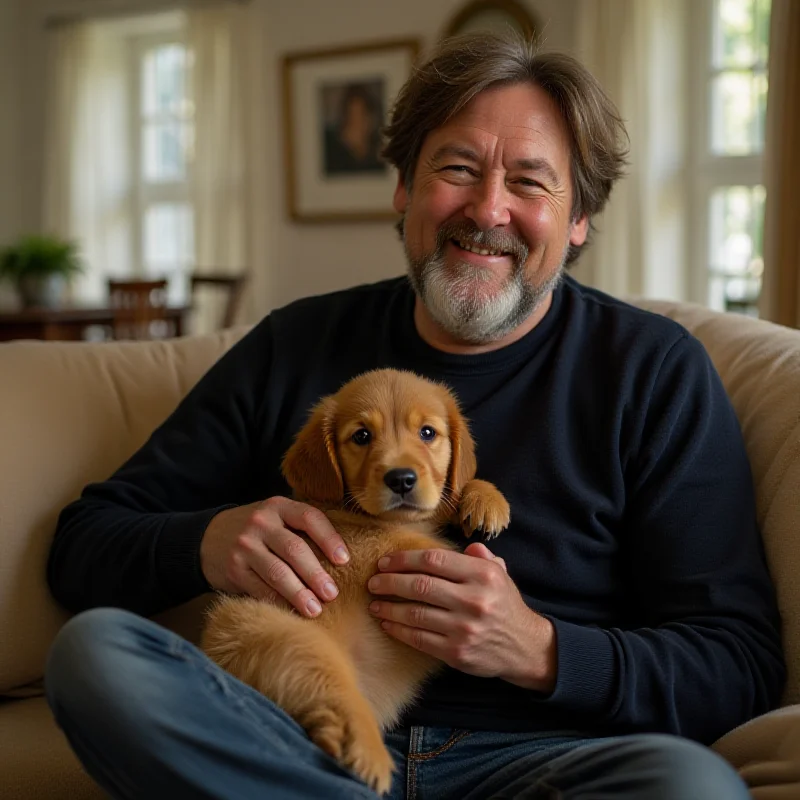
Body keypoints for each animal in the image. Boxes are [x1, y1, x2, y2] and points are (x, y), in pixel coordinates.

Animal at [203, 368, 510, 792]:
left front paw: (484, 499)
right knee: (330, 693)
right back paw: (364, 749)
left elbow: (450, 492)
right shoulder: (379, 548)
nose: (402, 479)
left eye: (427, 433)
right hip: (281, 635)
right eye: (362, 436)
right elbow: (431, 545)